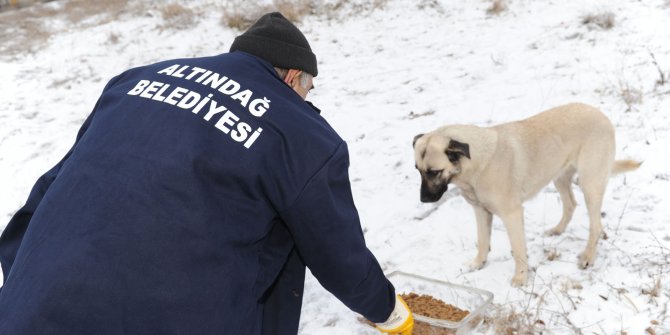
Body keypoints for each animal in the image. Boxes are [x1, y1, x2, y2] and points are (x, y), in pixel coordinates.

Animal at [412, 103, 644, 288]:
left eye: (434, 172)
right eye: (418, 170)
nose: (423, 199)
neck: (476, 163)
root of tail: (601, 114)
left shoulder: (512, 214)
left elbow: (518, 250)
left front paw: (520, 278)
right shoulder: (481, 211)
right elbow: (482, 241)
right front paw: (478, 264)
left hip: (590, 184)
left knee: (594, 224)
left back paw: (588, 255)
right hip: (559, 177)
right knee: (571, 205)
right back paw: (558, 230)